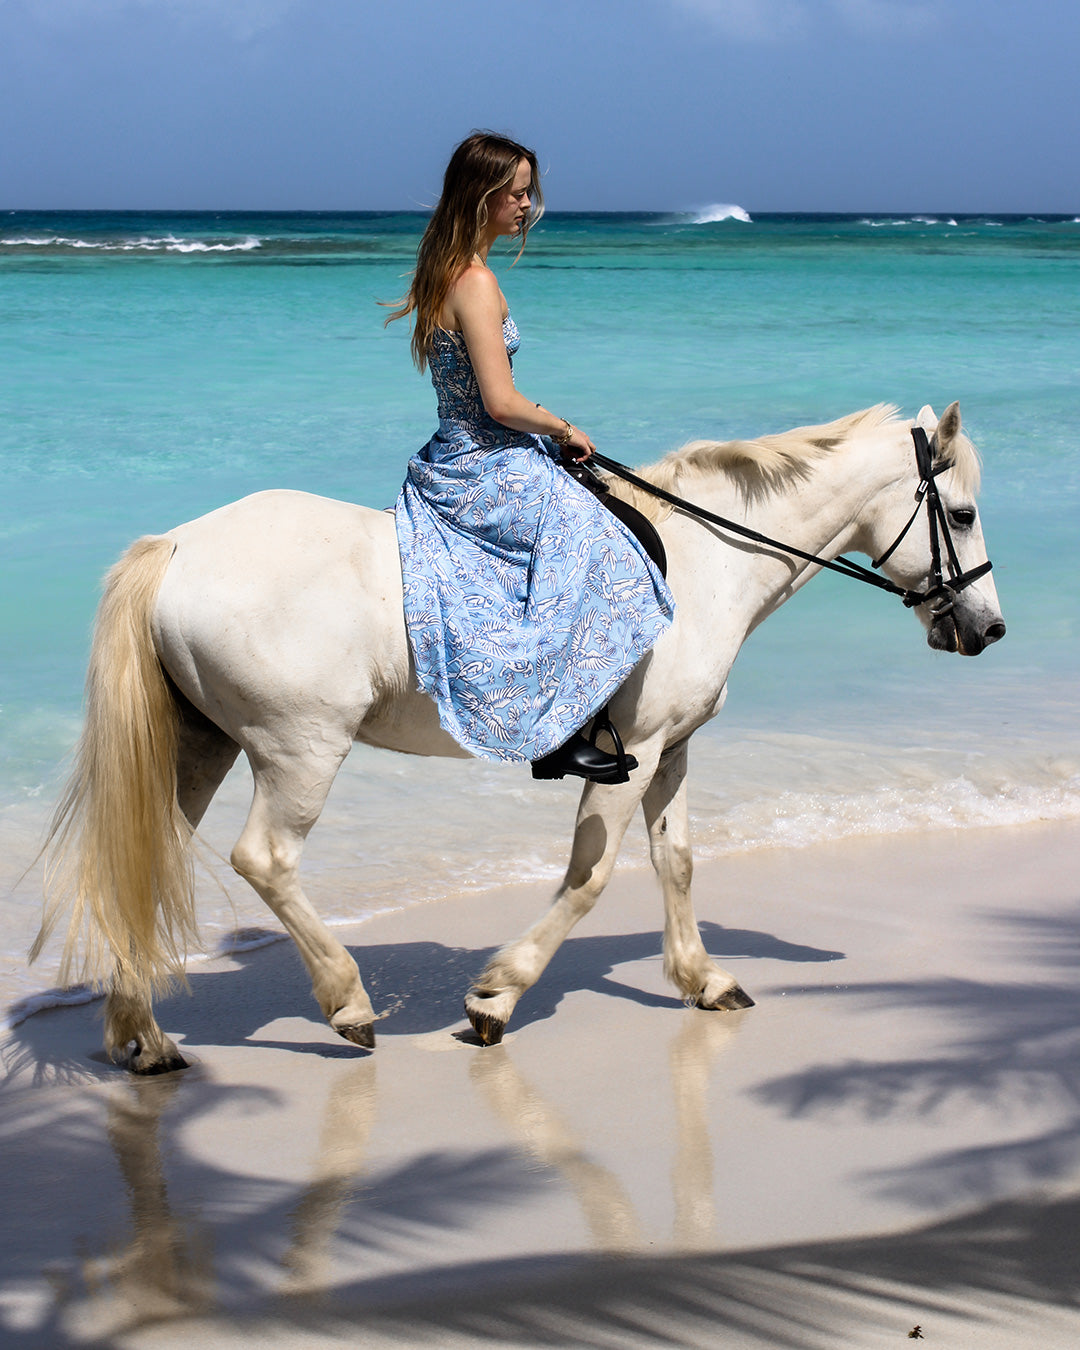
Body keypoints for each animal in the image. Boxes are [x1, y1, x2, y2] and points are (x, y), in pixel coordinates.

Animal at [33, 401, 1005, 1074]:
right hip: (298, 748)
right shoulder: (630, 755)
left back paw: (143, 1038)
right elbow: (590, 877)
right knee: (264, 860)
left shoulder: (675, 749)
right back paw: (347, 1005)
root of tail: (178, 546)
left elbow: (677, 862)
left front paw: (705, 980)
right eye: (959, 515)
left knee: (144, 858)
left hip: (201, 745)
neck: (703, 563)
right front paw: (496, 997)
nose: (988, 630)